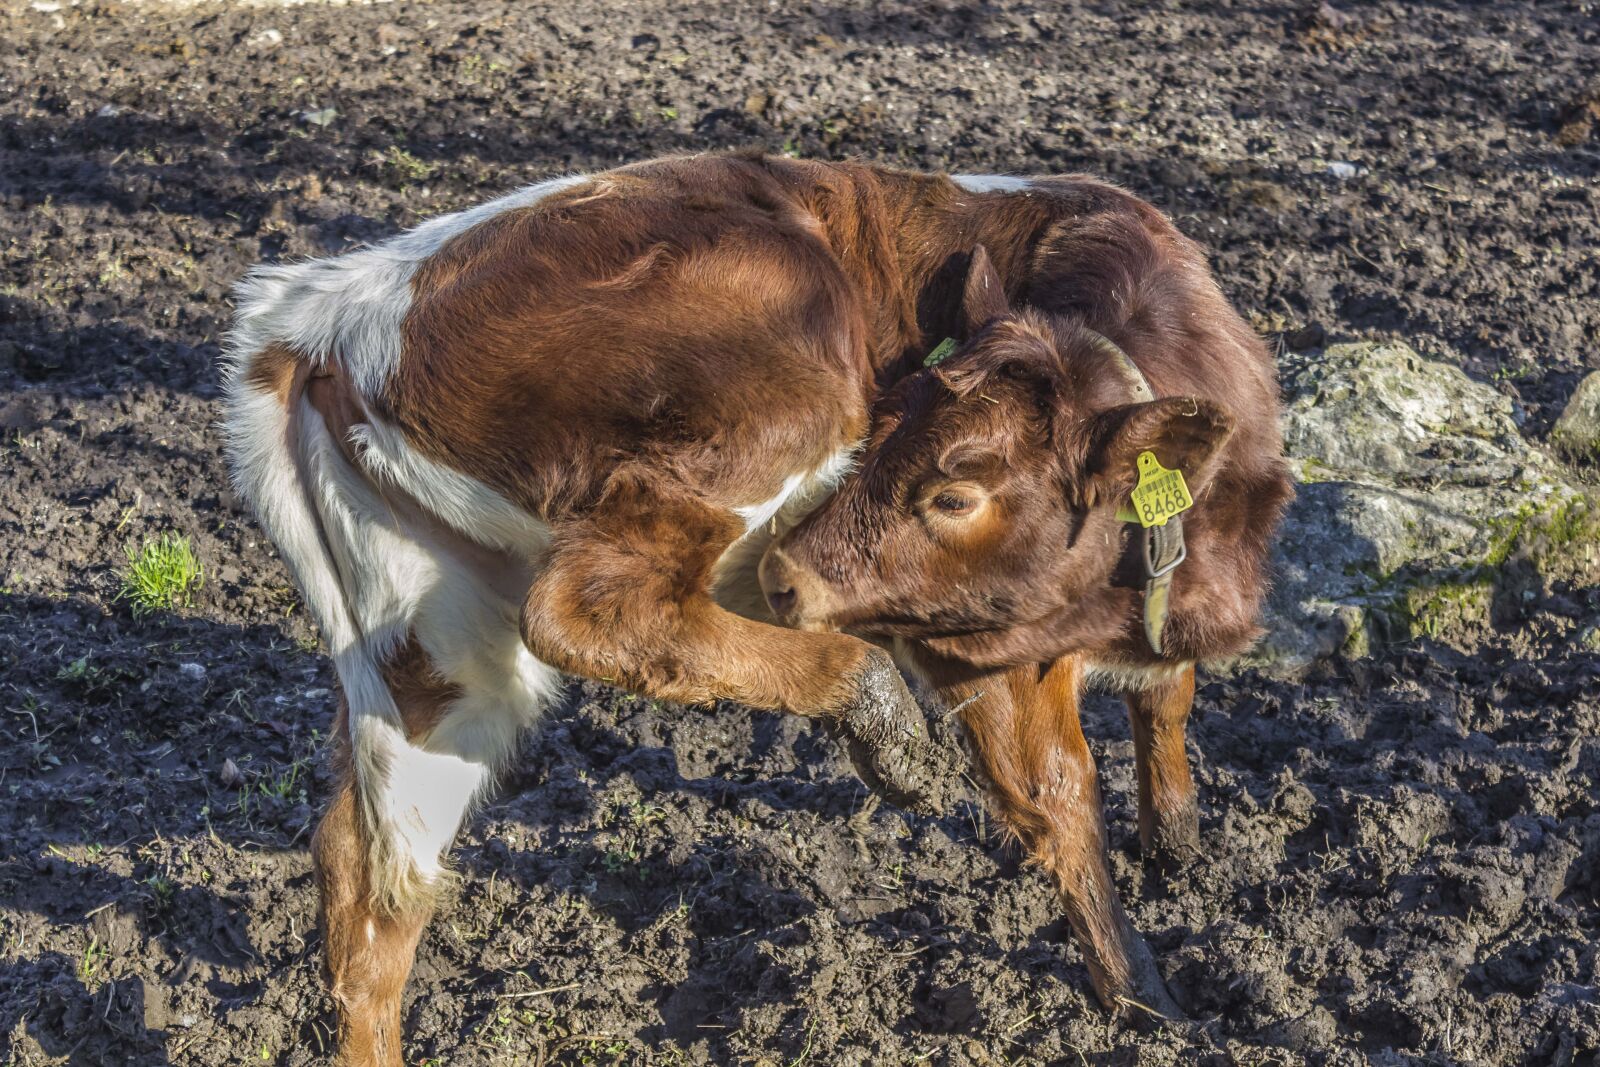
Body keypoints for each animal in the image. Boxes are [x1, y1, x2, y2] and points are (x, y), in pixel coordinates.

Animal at [222, 152, 1284, 1064]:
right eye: (885, 434)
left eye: (952, 494)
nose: (789, 574)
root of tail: (327, 310)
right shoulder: (978, 641)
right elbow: (1062, 796)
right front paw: (1147, 999)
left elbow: (1168, 698)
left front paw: (1179, 845)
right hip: (774, 396)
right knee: (589, 607)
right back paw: (877, 719)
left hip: (430, 652)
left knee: (370, 878)